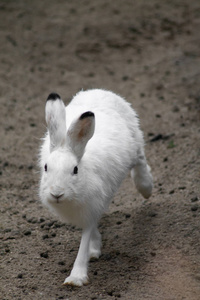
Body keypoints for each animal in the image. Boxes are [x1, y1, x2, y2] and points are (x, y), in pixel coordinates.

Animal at [38, 88, 152, 286]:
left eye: (75, 170)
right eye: (46, 167)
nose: (57, 193)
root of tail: (101, 91)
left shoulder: (93, 206)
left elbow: (85, 238)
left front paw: (75, 278)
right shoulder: (87, 211)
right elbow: (91, 232)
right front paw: (94, 249)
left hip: (135, 143)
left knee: (140, 163)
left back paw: (147, 188)